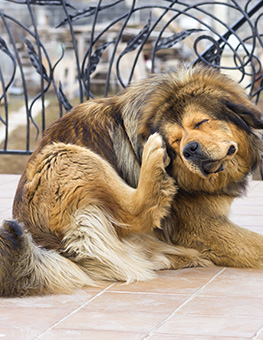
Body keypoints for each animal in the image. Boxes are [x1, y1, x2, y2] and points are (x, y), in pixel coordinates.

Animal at [0, 65, 263, 294]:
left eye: (201, 122)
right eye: (176, 140)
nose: (189, 150)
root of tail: (44, 244)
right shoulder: (203, 227)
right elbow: (258, 244)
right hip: (63, 155)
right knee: (137, 211)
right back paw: (152, 158)